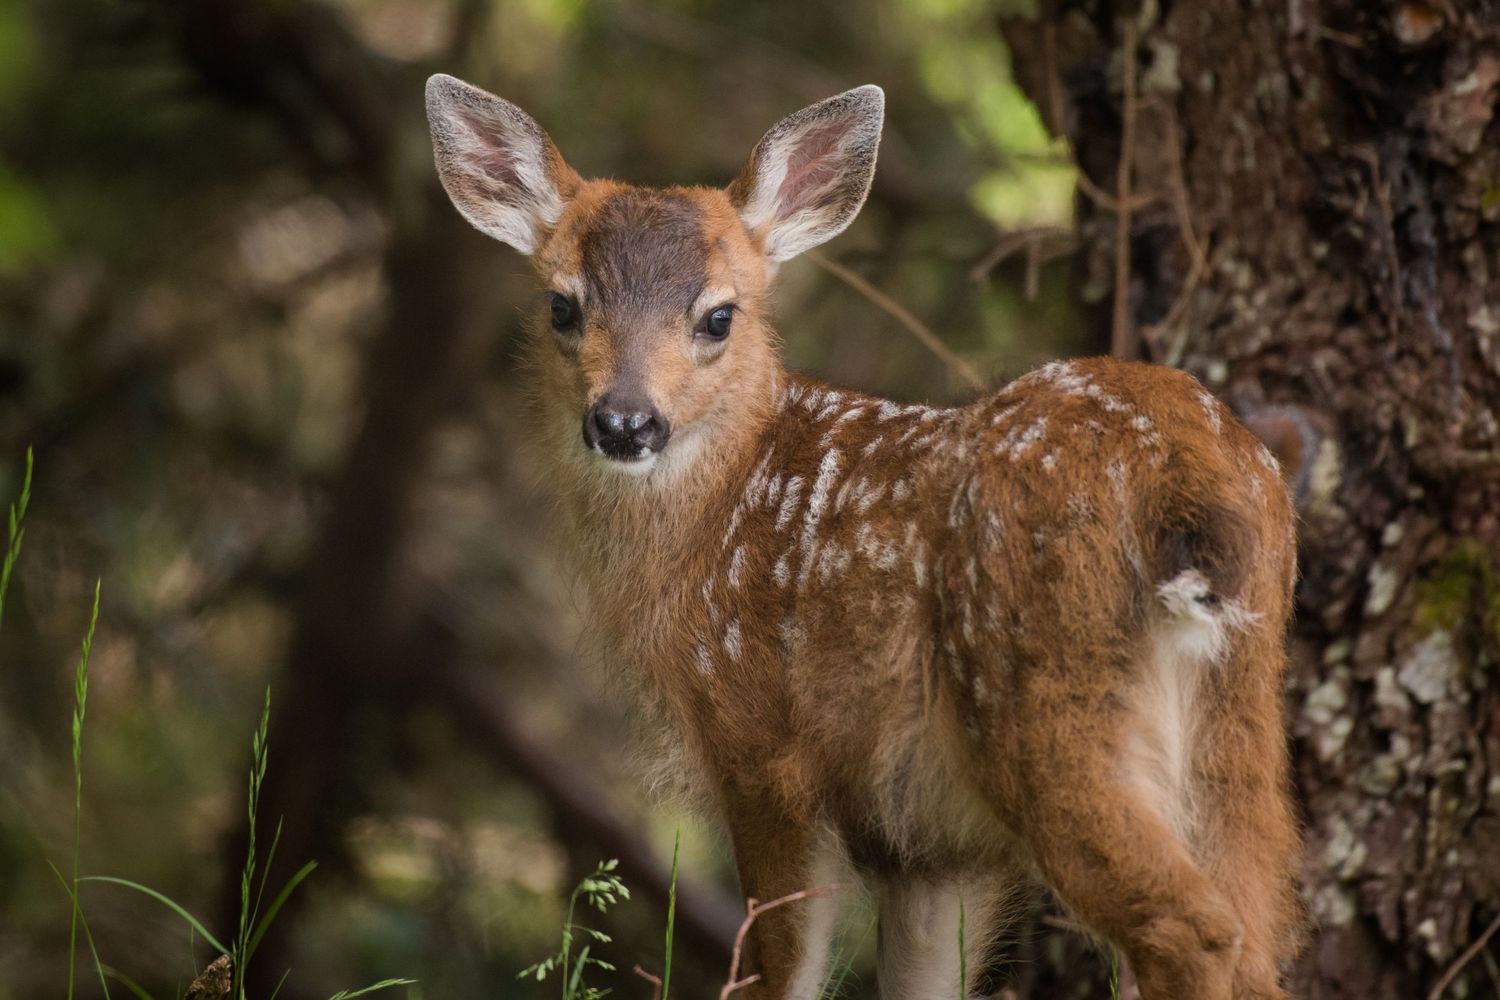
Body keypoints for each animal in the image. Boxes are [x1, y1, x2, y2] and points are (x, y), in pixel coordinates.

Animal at [425, 74, 1302, 1000]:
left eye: (718, 317)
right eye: (562, 306)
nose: (625, 422)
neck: (715, 519)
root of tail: (1187, 476)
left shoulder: (763, 744)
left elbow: (775, 963)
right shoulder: (929, 846)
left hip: (1045, 700)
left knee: (1192, 929)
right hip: (1241, 719)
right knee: (1258, 935)